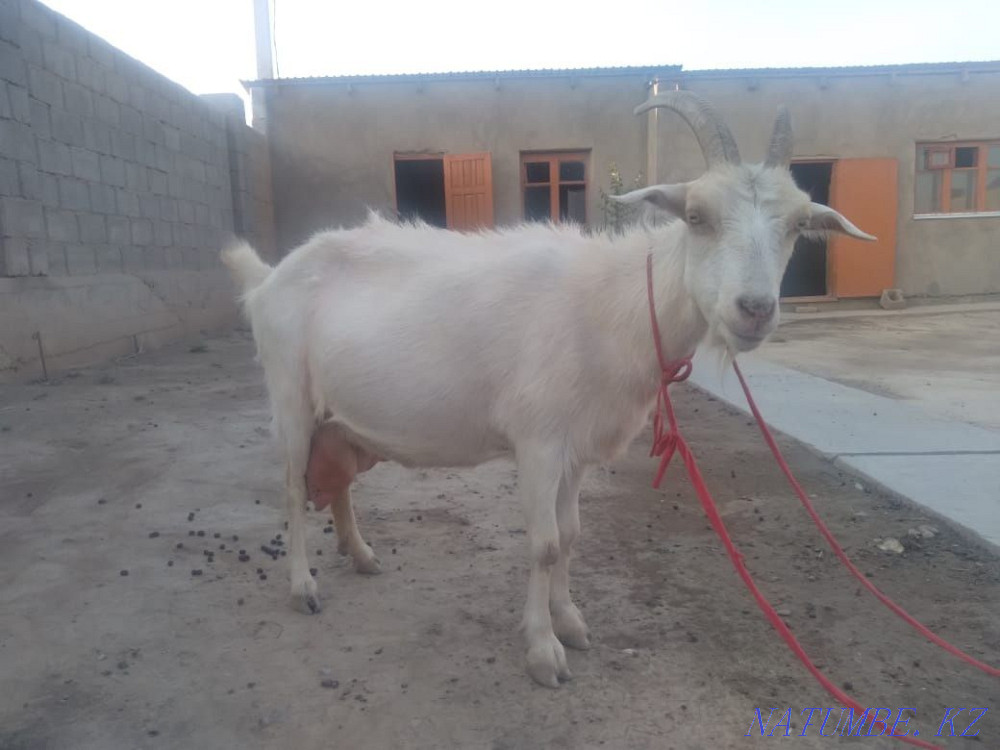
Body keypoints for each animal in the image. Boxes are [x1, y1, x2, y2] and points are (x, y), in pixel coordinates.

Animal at [223, 91, 873, 688]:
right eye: (695, 215)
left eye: (798, 224)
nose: (754, 309)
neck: (613, 306)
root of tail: (268, 277)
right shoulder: (537, 440)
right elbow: (543, 543)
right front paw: (543, 653)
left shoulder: (576, 449)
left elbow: (572, 535)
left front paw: (572, 623)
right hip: (289, 393)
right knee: (291, 488)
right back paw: (303, 587)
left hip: (338, 415)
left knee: (337, 484)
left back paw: (360, 555)